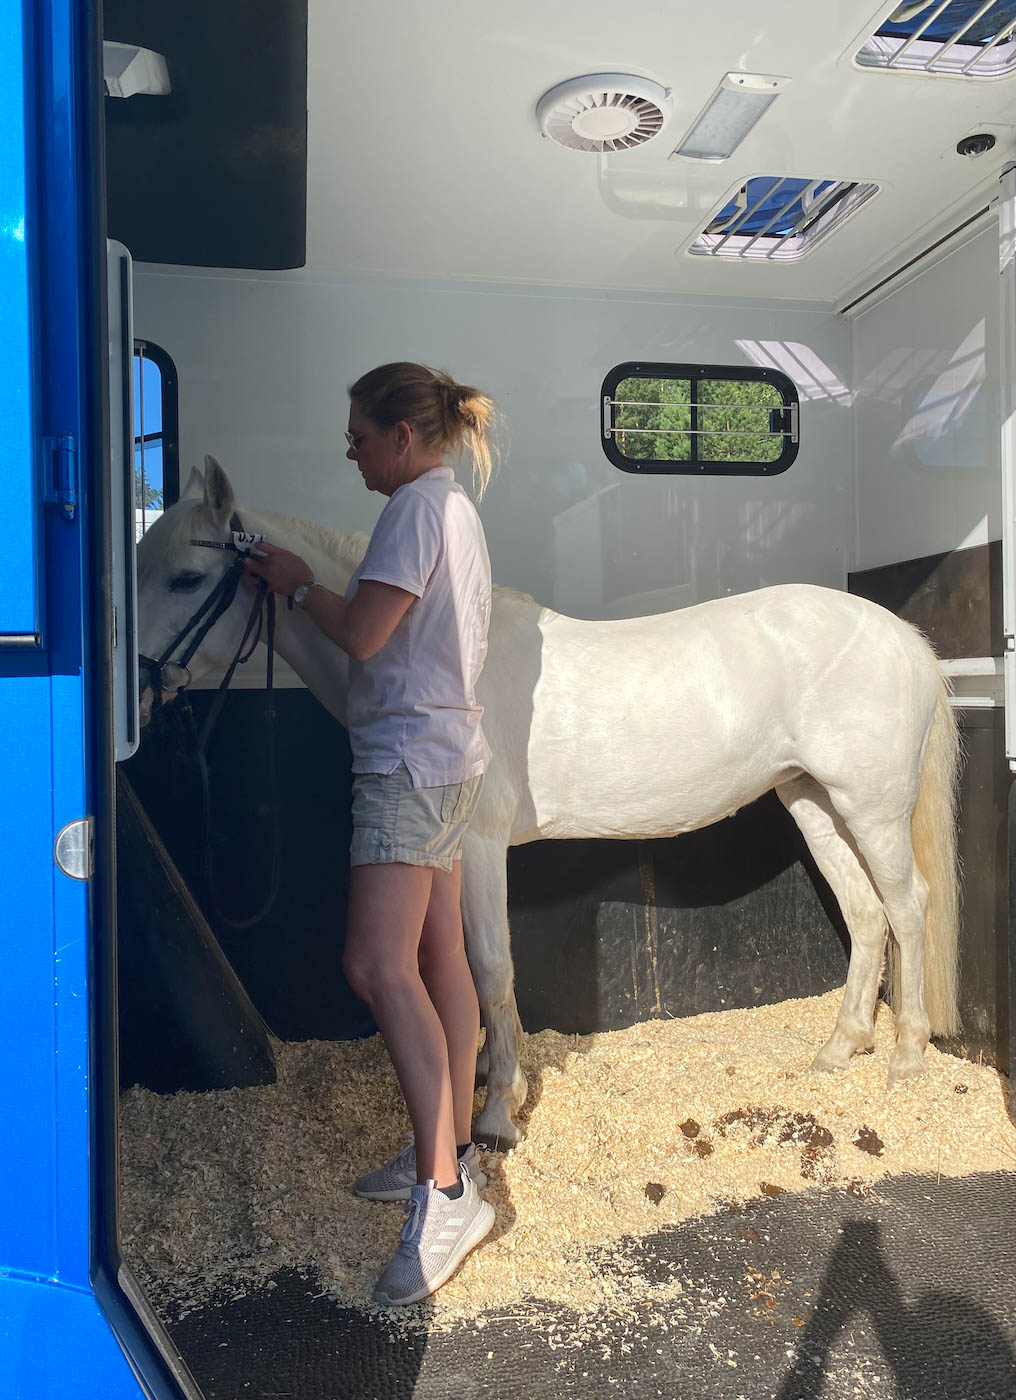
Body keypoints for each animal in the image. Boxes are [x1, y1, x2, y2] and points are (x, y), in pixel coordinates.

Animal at [136, 455, 961, 1149]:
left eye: (185, 578)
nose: (137, 688)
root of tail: (903, 634)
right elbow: (453, 970)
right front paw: (469, 1072)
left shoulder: (477, 847)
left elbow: (492, 967)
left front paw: (499, 1108)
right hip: (813, 800)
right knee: (866, 912)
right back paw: (840, 1047)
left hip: (871, 808)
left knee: (907, 906)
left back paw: (908, 1057)